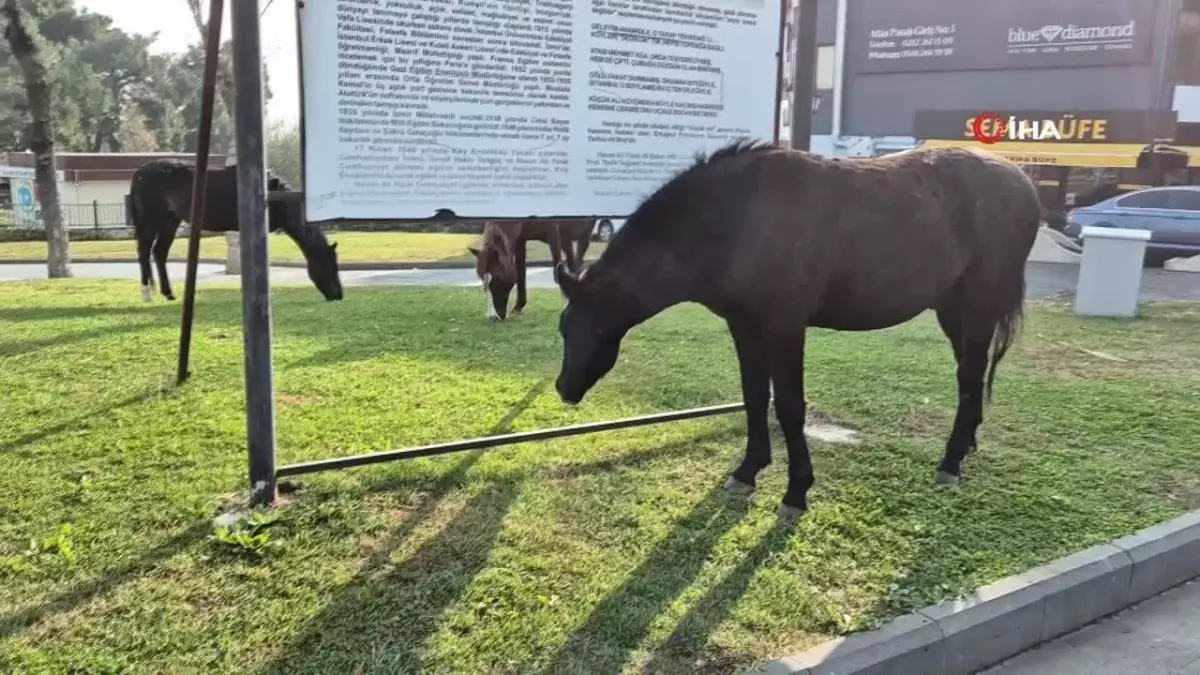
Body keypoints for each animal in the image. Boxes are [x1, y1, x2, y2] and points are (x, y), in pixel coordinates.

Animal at [129, 158, 345, 300]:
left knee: (159, 252)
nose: (338, 295)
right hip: (150, 221)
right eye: (331, 266)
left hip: (170, 221)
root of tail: (139, 173)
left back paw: (168, 293)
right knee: (144, 252)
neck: (273, 197)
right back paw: (147, 294)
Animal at [549, 140, 1041, 514]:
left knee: (969, 376)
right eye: (563, 327)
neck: (737, 220)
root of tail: (1022, 182)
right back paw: (966, 444)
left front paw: (796, 490)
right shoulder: (744, 326)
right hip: (953, 311)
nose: (565, 388)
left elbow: (788, 406)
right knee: (969, 376)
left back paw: (951, 461)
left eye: (591, 328)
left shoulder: (785, 327)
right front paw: (747, 471)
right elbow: (753, 396)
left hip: (976, 306)